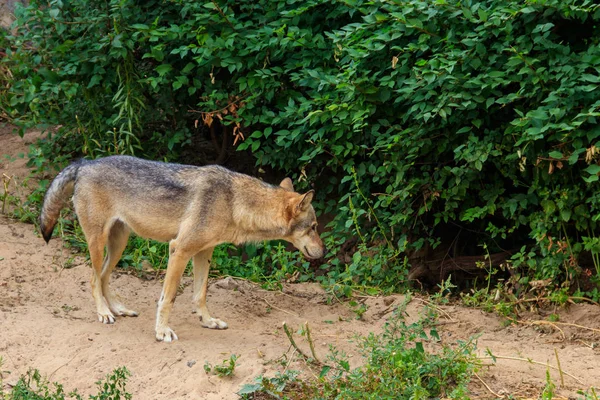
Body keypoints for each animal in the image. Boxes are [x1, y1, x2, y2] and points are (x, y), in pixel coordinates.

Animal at [39, 155, 326, 342]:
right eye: (313, 227)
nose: (323, 253)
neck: (234, 202)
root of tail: (85, 163)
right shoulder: (179, 250)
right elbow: (168, 298)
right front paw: (161, 332)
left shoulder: (204, 253)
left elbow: (200, 295)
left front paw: (208, 322)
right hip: (99, 243)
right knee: (92, 279)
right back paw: (103, 313)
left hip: (119, 245)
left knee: (103, 277)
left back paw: (117, 309)